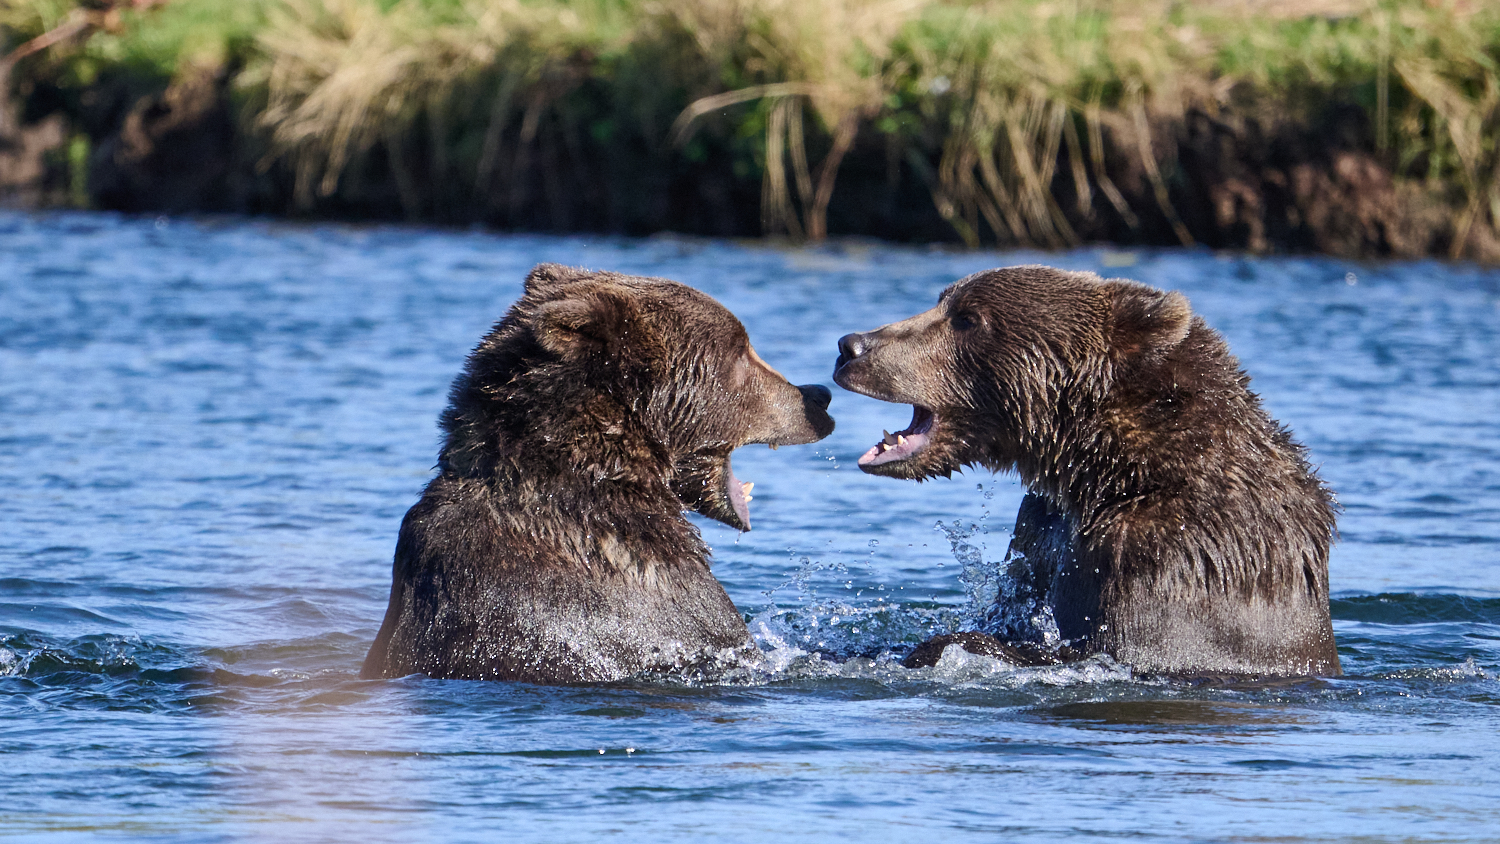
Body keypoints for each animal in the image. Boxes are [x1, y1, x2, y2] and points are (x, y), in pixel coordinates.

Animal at [832, 265, 1339, 677]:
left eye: (968, 318)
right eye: (943, 301)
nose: (850, 346)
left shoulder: (1169, 557)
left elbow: (1107, 650)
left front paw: (933, 649)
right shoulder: (1042, 529)